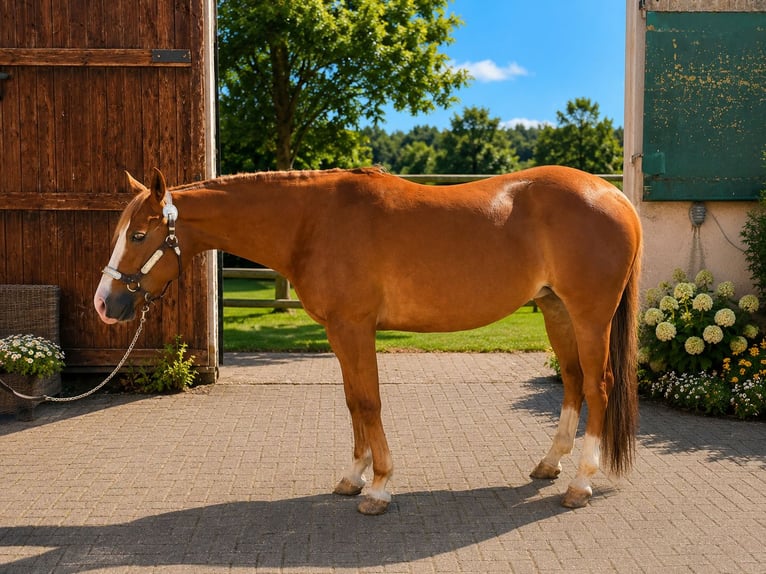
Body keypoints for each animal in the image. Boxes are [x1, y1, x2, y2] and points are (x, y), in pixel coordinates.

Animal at [94, 165, 642, 515]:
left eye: (139, 235)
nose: (103, 303)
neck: (312, 221)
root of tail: (615, 196)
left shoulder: (355, 327)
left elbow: (370, 402)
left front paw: (378, 488)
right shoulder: (339, 332)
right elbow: (353, 401)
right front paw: (352, 476)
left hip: (589, 316)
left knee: (599, 386)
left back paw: (580, 483)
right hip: (556, 310)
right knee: (572, 381)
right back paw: (549, 465)